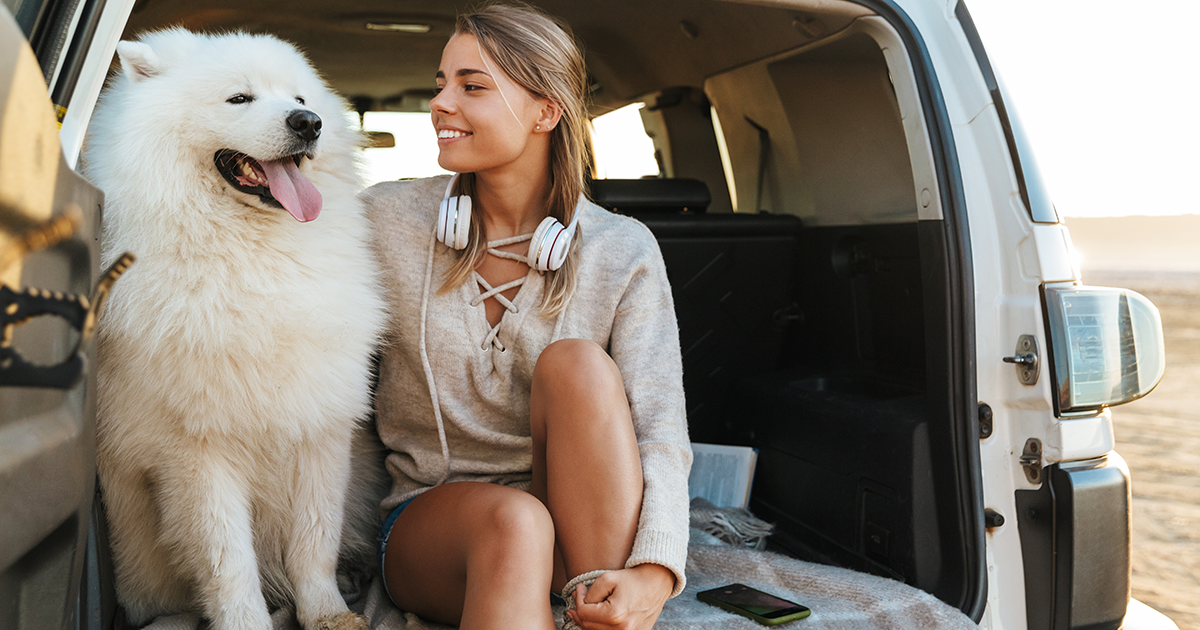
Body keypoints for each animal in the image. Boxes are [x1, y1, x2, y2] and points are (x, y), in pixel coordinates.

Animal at [84, 29, 384, 628]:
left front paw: (328, 612)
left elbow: (315, 539)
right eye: (239, 98)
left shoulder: (321, 428)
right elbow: (228, 559)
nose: (309, 122)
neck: (254, 254)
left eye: (298, 98)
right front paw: (248, 620)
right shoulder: (199, 450)